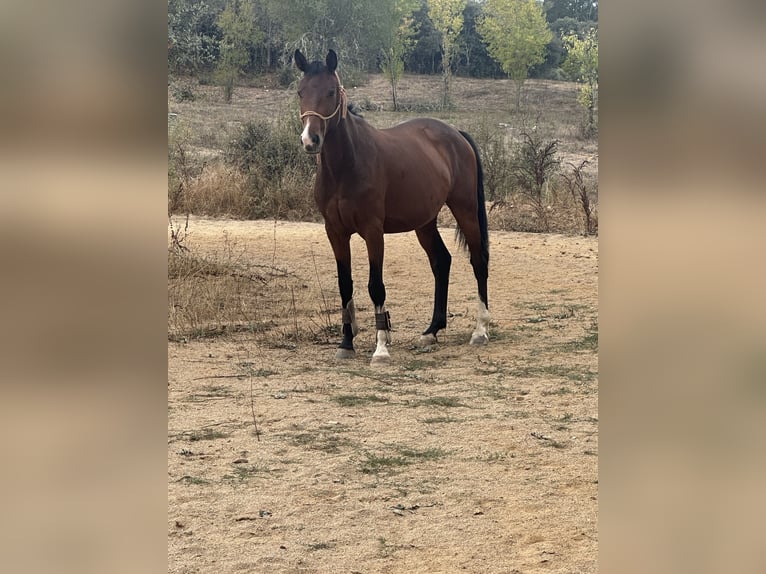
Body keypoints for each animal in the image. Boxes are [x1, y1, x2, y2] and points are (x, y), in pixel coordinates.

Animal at [294, 49, 489, 365]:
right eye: (300, 91)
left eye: (331, 91)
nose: (310, 140)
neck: (345, 167)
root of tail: (456, 134)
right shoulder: (335, 232)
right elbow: (345, 285)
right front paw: (346, 343)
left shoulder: (373, 232)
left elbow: (376, 286)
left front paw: (381, 348)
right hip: (425, 222)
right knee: (441, 261)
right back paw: (432, 331)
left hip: (466, 209)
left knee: (479, 260)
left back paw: (480, 330)